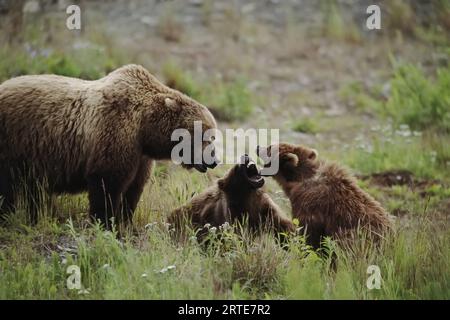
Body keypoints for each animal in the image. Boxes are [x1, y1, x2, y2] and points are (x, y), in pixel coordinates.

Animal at [0, 63, 218, 226]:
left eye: (213, 136)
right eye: (205, 137)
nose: (213, 161)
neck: (145, 128)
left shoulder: (141, 156)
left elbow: (134, 189)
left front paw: (125, 220)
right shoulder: (115, 131)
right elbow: (107, 183)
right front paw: (104, 222)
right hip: (15, 142)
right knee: (9, 188)